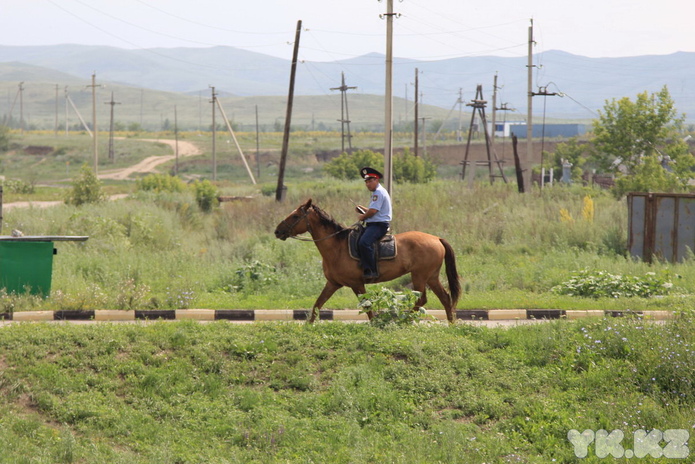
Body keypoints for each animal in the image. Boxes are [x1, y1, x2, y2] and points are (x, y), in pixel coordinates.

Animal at [274, 197, 462, 322]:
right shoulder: (333, 284)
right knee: (445, 298)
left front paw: (376, 324)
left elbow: (367, 306)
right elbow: (317, 305)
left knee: (422, 300)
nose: (277, 231)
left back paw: (405, 320)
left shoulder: (356, 284)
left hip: (419, 276)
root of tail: (437, 238)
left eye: (295, 216)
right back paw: (451, 324)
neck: (337, 246)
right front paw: (308, 326)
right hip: (431, 277)